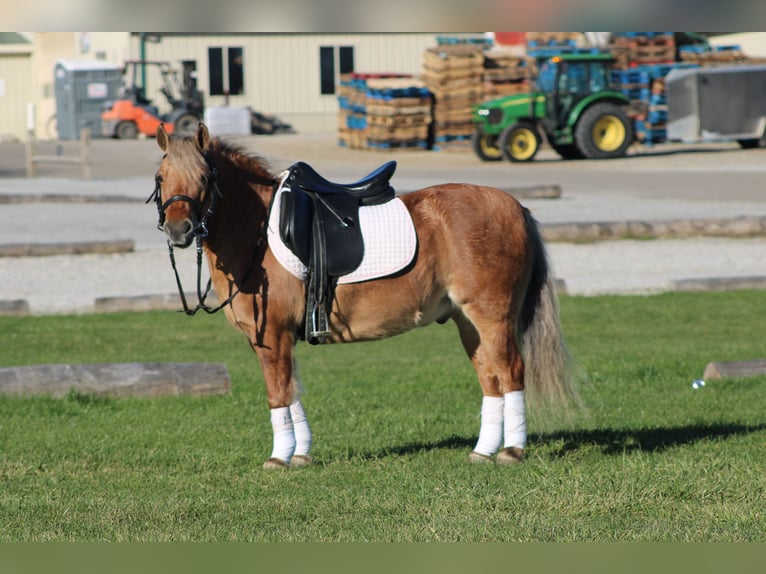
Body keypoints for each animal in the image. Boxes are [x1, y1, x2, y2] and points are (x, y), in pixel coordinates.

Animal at [150, 122, 578, 469]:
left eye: (204, 177)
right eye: (160, 176)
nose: (179, 230)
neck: (259, 233)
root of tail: (514, 205)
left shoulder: (271, 337)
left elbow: (278, 394)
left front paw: (280, 457)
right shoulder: (279, 339)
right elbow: (292, 391)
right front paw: (301, 454)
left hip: (493, 316)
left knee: (511, 372)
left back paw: (512, 451)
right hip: (467, 322)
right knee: (490, 377)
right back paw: (483, 451)